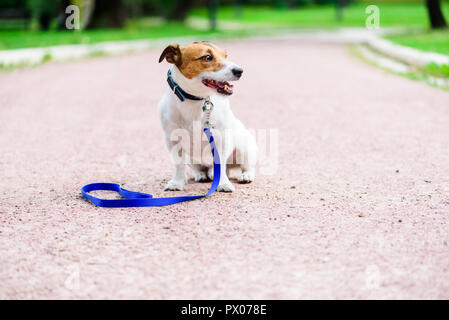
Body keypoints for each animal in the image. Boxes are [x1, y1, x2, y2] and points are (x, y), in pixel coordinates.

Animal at [158, 42, 258, 192]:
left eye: (225, 55)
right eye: (207, 57)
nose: (239, 71)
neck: (195, 100)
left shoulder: (221, 139)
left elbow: (220, 164)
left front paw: (223, 184)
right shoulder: (172, 140)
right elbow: (179, 165)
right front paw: (177, 182)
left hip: (244, 148)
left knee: (244, 167)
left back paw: (246, 176)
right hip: (192, 159)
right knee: (203, 168)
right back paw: (202, 175)